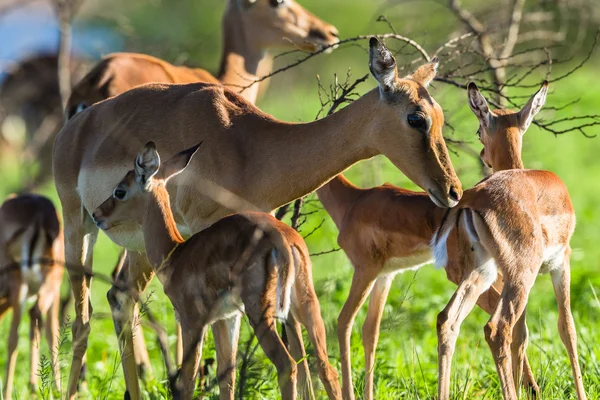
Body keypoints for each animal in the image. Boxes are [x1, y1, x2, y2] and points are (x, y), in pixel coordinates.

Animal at [90, 144, 342, 400]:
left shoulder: (192, 321)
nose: (97, 215)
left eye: (120, 191)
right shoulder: (227, 318)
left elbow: (188, 381)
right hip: (305, 304)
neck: (175, 253)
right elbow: (226, 377)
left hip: (261, 312)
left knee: (287, 365)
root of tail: (283, 238)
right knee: (327, 368)